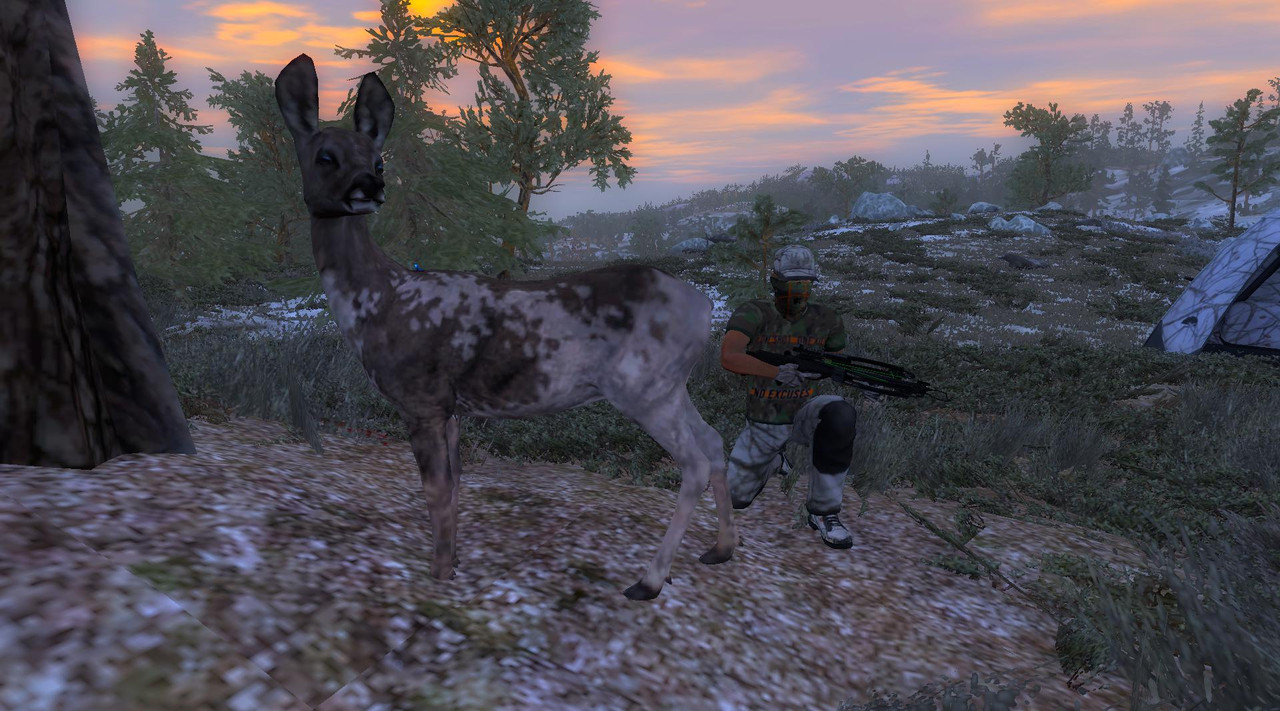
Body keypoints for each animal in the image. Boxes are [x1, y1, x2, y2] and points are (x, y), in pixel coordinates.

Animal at [274, 54, 736, 600]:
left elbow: (436, 489)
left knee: (695, 462)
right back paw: (721, 550)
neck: (378, 300)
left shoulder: (421, 397)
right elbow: (455, 485)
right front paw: (453, 562)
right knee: (715, 441)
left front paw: (437, 574)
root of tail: (705, 306)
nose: (371, 185)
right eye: (325, 156)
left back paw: (648, 580)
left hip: (642, 385)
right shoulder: (450, 407)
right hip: (670, 384)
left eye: (379, 160)